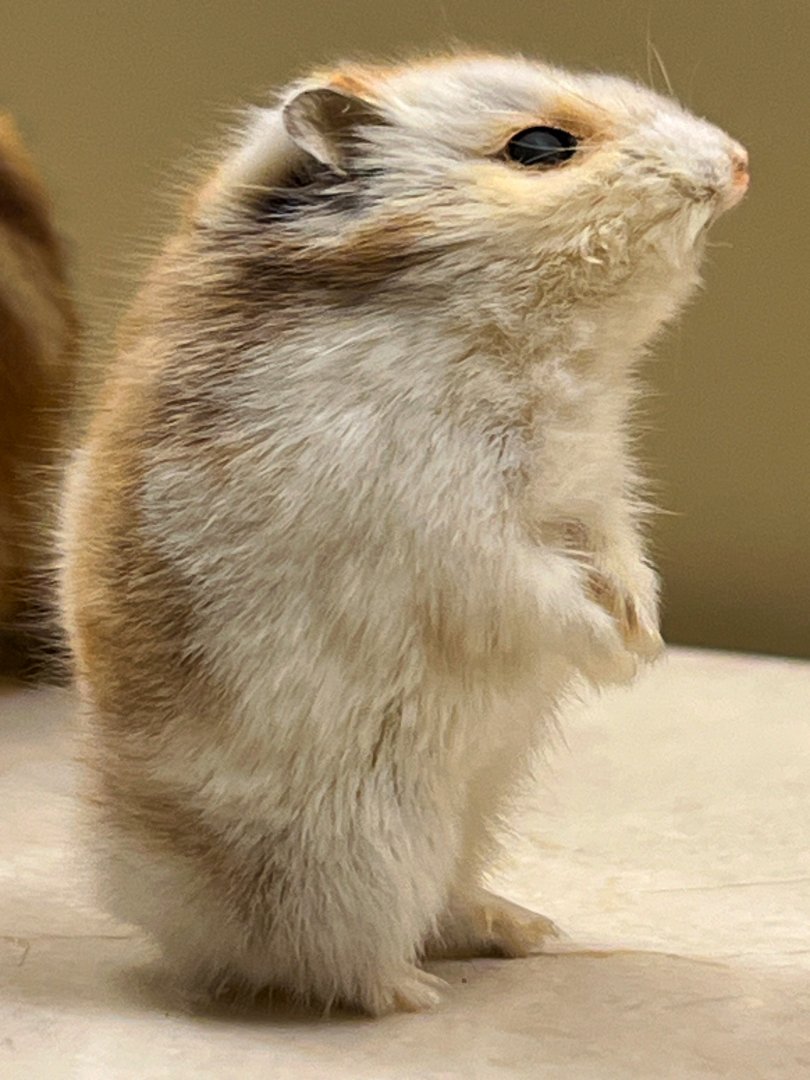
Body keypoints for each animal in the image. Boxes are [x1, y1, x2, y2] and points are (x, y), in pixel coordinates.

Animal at [60, 53, 748, 1014]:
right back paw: (417, 995)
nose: (741, 162)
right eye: (541, 146)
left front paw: (643, 643)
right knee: (329, 959)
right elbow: (546, 593)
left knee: (440, 905)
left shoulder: (596, 490)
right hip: (364, 852)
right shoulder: (451, 524)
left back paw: (526, 931)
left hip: (473, 815)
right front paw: (620, 661)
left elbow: (620, 562)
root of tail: (167, 915)